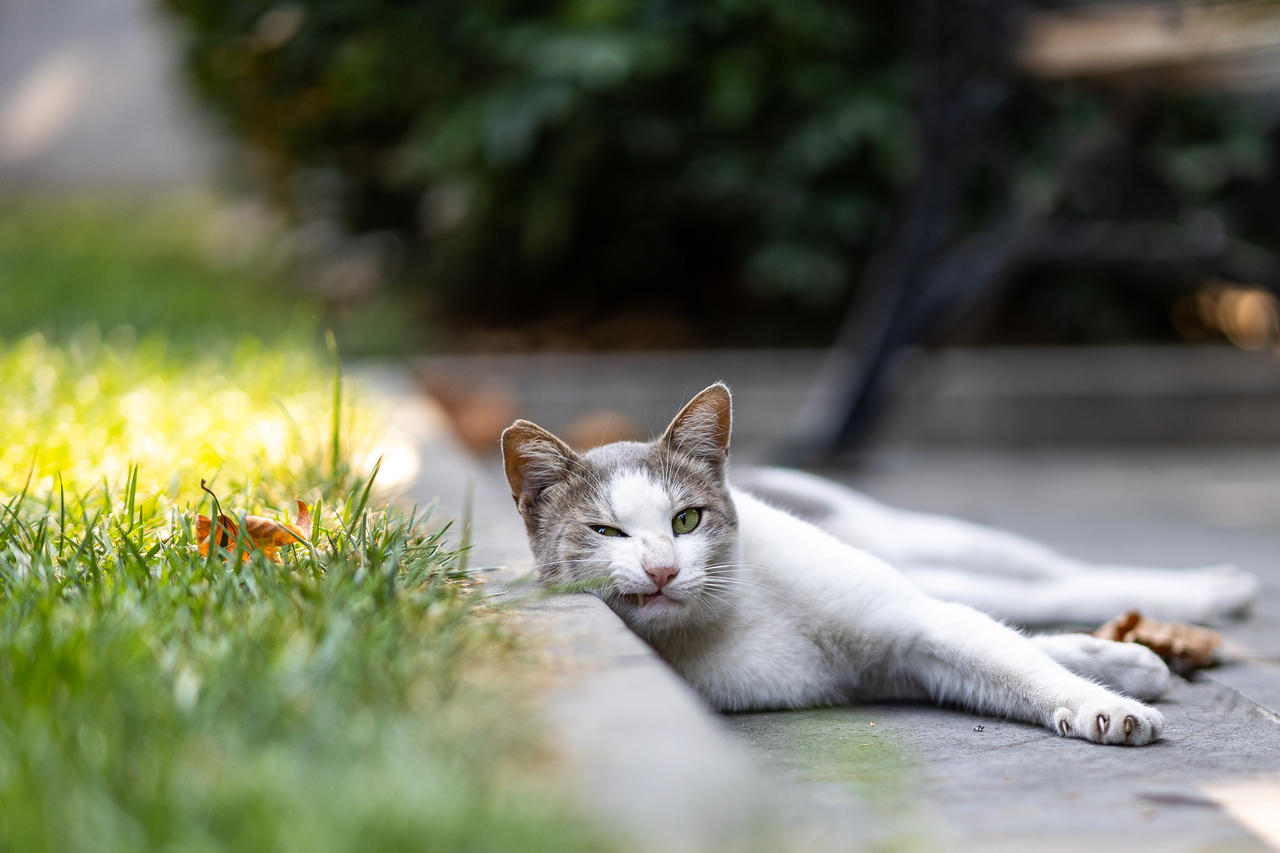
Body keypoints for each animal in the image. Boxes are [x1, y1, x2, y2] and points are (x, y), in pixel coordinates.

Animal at [499, 381, 1259, 742]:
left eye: (686, 520)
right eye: (606, 531)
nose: (662, 569)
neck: (721, 616)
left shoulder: (910, 622)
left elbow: (1007, 653)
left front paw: (1105, 701)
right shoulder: (885, 669)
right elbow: (1001, 656)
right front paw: (1113, 675)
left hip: (922, 538)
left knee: (1047, 575)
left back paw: (1212, 591)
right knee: (1015, 600)